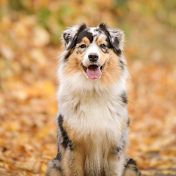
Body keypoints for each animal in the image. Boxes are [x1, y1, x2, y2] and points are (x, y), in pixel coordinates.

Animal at [46, 23, 141, 176]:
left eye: (103, 45)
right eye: (83, 46)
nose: (93, 56)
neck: (93, 90)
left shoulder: (115, 146)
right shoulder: (73, 146)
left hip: (131, 166)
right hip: (53, 166)